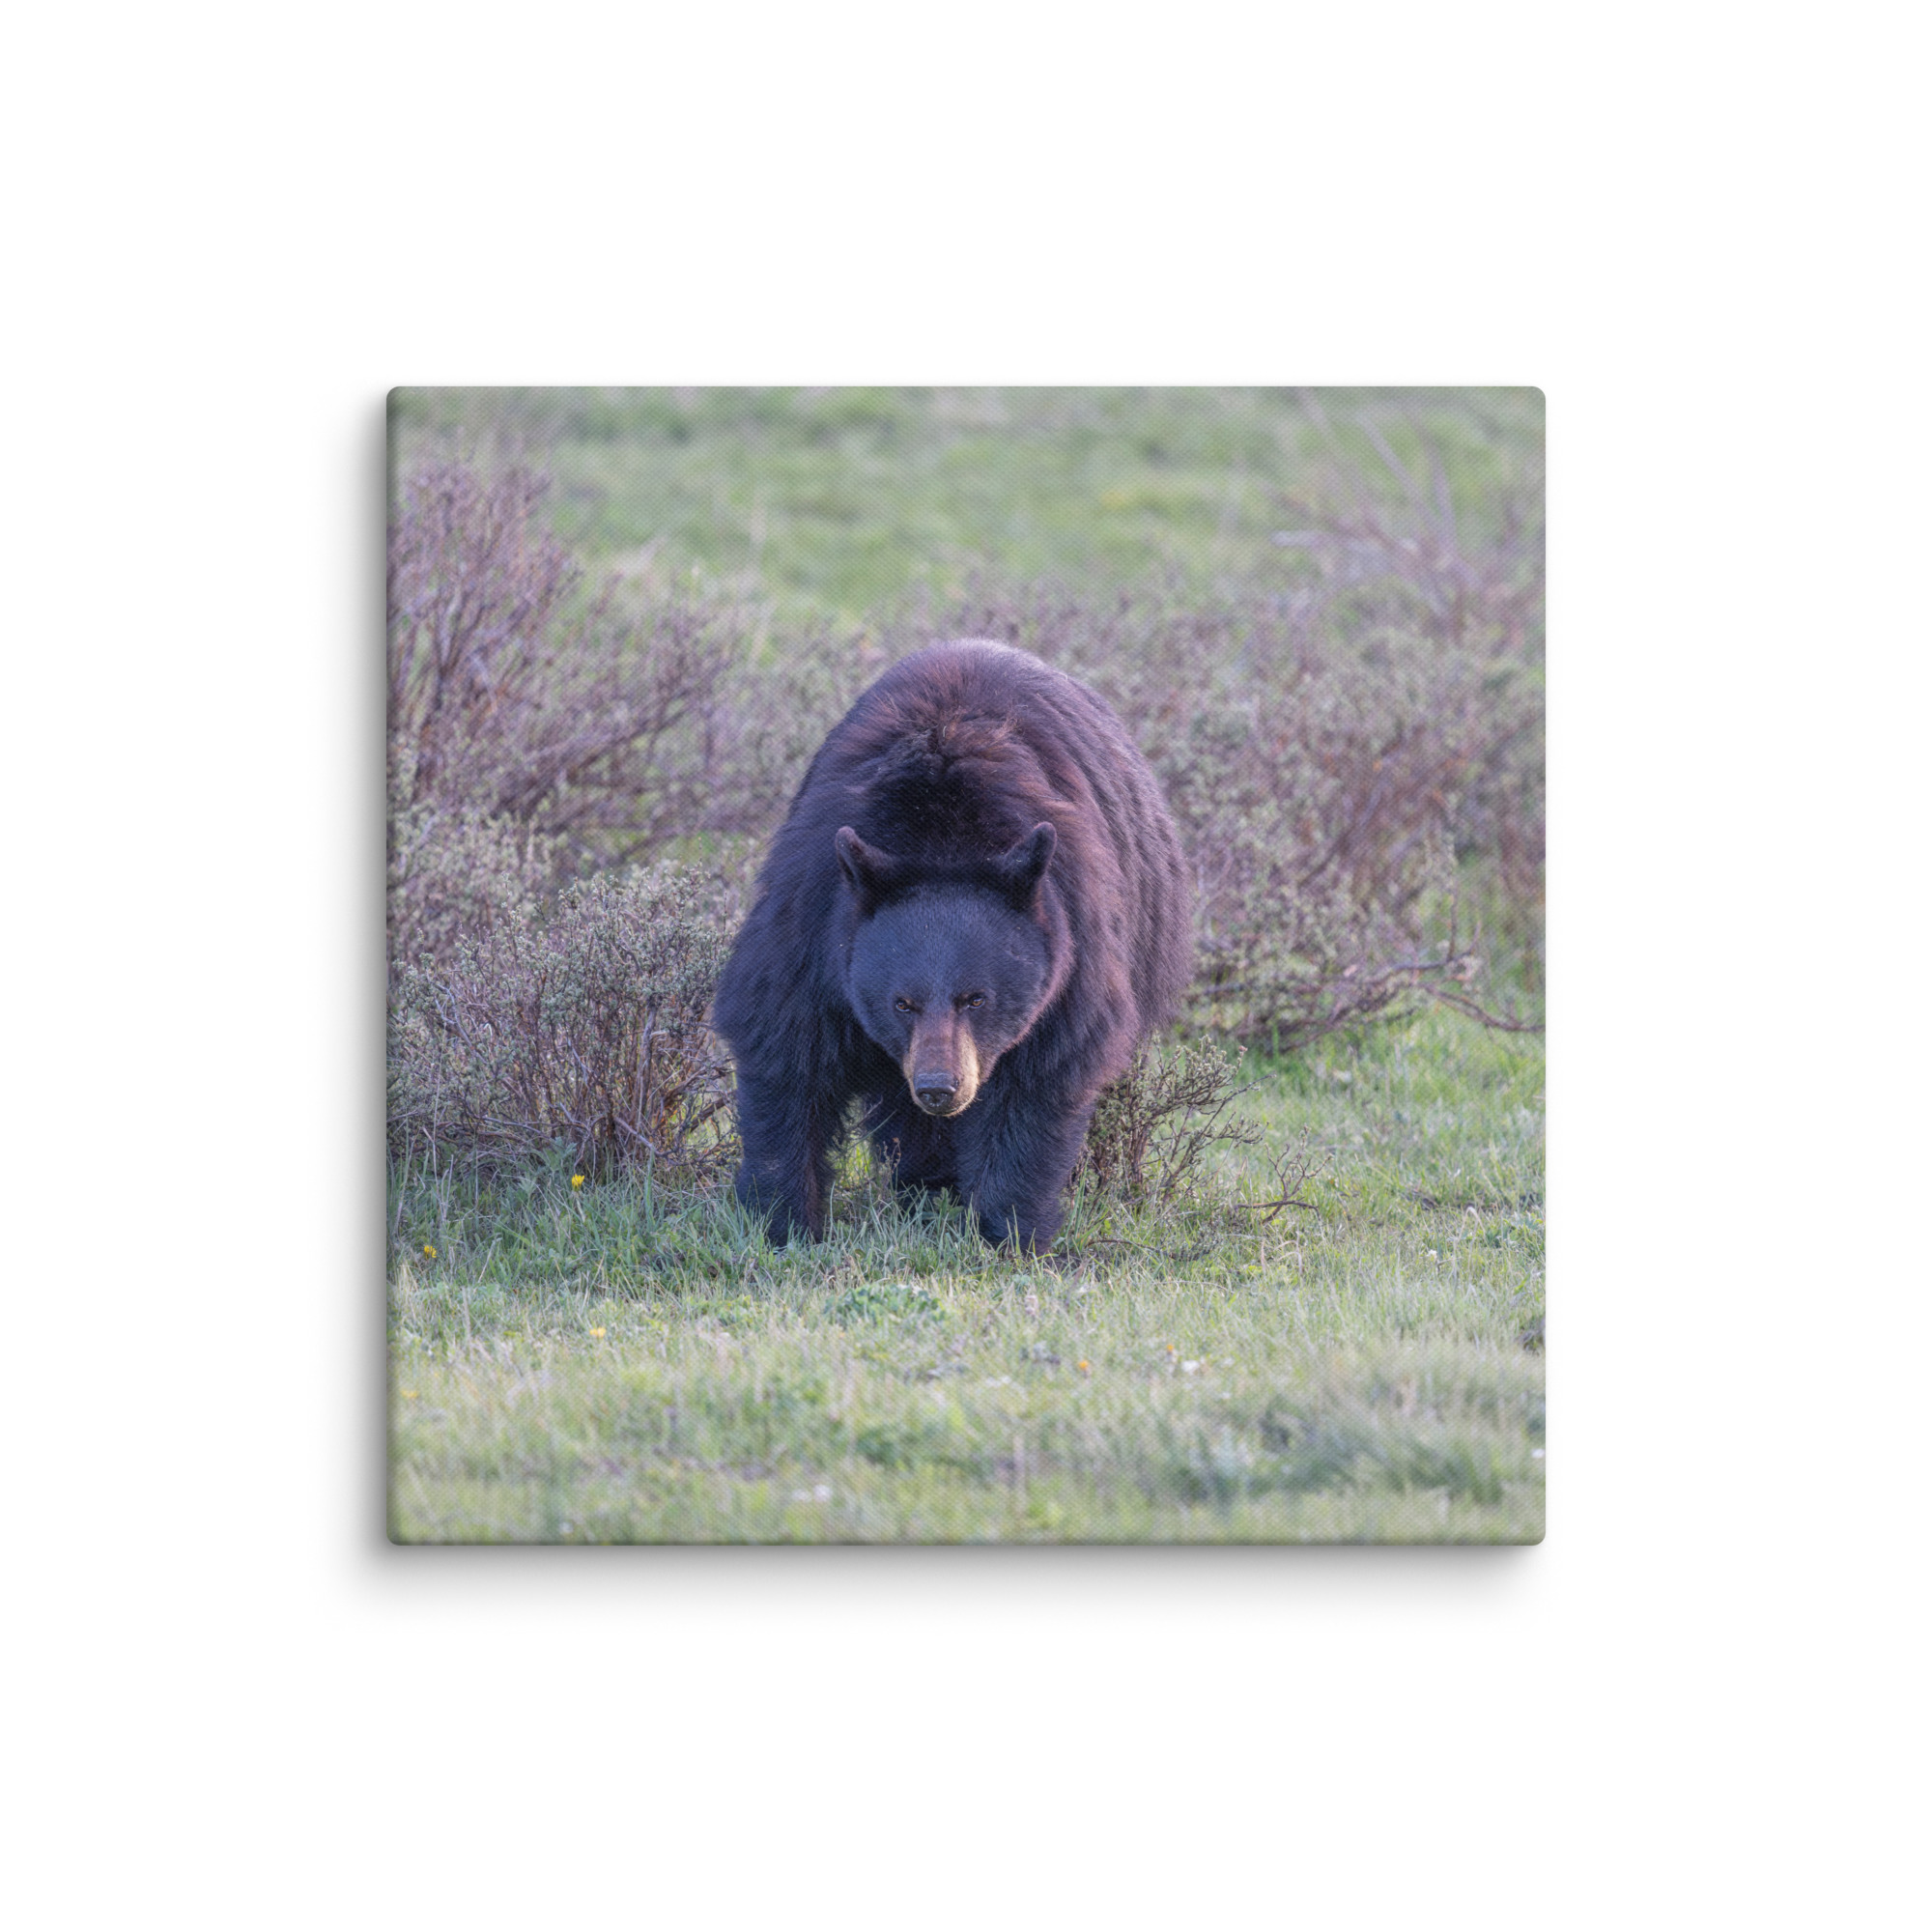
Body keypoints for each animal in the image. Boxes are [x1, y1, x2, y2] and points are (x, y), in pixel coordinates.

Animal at [712, 639, 1193, 1249]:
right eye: (902, 1003)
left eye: (976, 998)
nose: (940, 1088)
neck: (941, 837)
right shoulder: (814, 921)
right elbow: (786, 1050)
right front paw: (783, 1221)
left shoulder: (1072, 944)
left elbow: (1038, 1080)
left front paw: (1009, 1231)